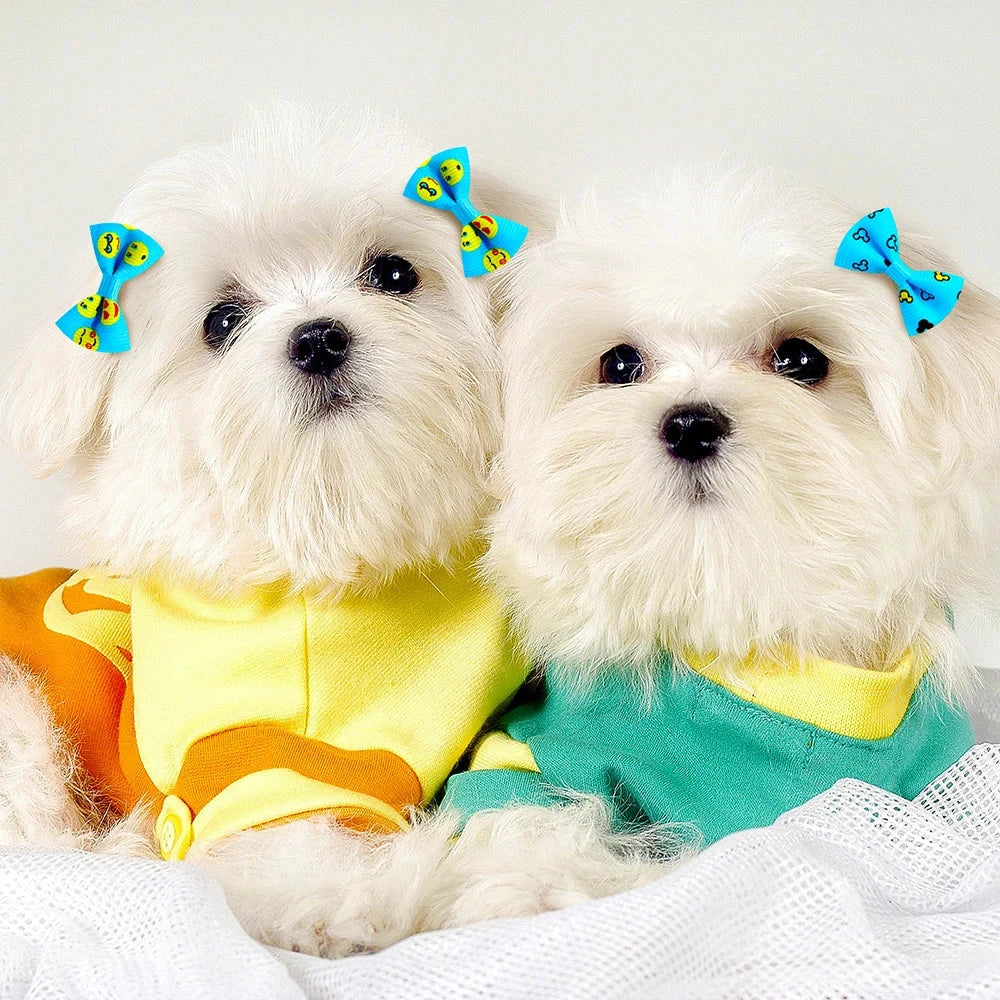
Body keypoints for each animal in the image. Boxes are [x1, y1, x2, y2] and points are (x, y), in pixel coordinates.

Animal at [0, 105, 544, 956]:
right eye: (222, 322)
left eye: (395, 274)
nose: (318, 338)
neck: (339, 545)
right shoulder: (257, 766)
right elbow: (340, 874)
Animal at [420, 170, 1000, 928]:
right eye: (620, 363)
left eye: (801, 359)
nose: (690, 423)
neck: (734, 605)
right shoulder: (537, 751)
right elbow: (527, 812)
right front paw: (531, 887)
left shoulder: (933, 782)